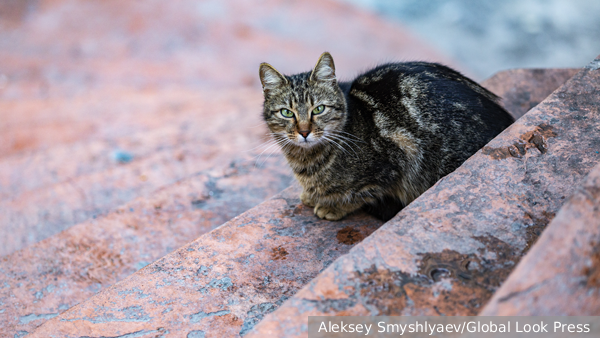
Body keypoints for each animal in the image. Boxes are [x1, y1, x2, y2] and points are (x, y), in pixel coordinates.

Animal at [258, 52, 510, 222]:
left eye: (318, 109)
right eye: (286, 113)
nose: (304, 132)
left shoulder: (394, 163)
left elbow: (360, 195)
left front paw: (332, 207)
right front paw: (313, 196)